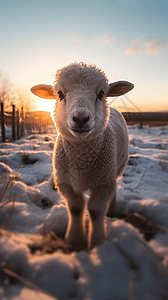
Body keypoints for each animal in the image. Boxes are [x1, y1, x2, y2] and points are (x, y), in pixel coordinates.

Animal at [31, 63, 134, 251]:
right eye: (60, 94)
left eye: (101, 94)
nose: (80, 119)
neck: (81, 159)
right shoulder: (65, 182)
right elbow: (76, 209)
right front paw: (75, 240)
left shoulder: (103, 182)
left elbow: (95, 211)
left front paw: (98, 241)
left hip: (117, 167)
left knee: (115, 186)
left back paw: (112, 209)